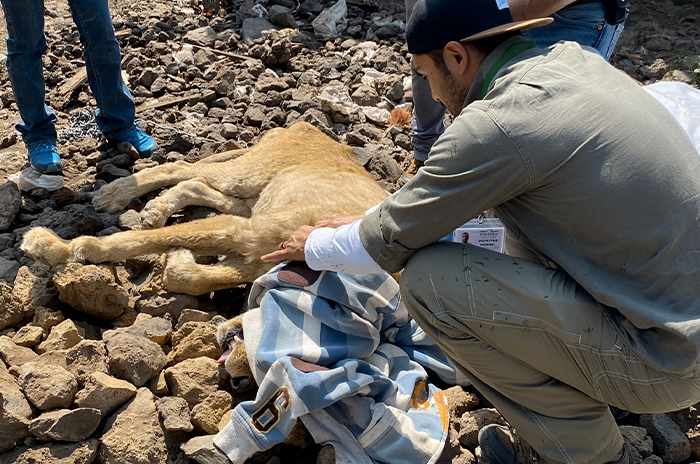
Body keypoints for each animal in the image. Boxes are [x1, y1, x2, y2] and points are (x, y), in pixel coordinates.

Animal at [19, 121, 388, 296]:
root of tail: (304, 126)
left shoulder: (252, 260)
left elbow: (194, 279)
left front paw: (178, 258)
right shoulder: (247, 232)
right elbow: (127, 242)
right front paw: (53, 246)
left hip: (254, 197)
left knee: (196, 184)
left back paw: (156, 210)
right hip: (249, 174)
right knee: (181, 167)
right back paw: (114, 195)